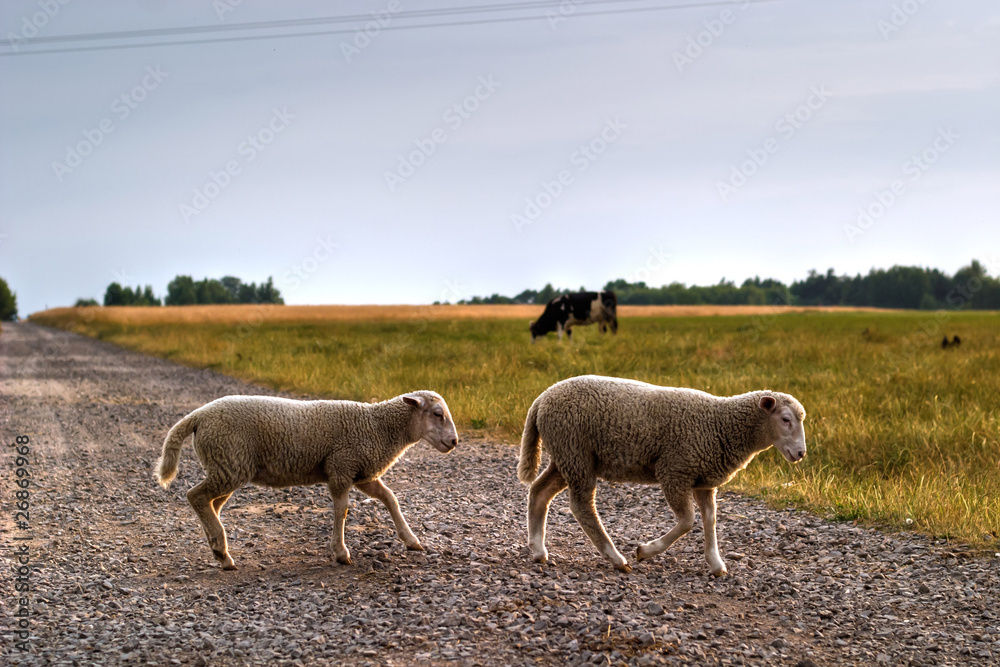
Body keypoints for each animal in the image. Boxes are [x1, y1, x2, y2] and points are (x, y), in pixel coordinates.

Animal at [155, 391, 458, 570]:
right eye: (437, 414)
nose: (455, 442)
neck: (378, 426)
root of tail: (197, 416)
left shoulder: (362, 473)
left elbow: (390, 499)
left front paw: (411, 540)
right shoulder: (341, 467)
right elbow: (342, 510)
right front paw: (340, 552)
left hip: (227, 465)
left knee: (210, 505)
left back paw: (219, 550)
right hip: (229, 463)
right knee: (195, 496)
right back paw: (221, 549)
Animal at [517, 375, 807, 576]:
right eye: (785, 419)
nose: (801, 453)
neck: (720, 424)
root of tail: (541, 399)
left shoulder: (704, 480)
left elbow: (710, 520)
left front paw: (716, 564)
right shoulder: (675, 472)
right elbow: (688, 521)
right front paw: (645, 551)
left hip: (567, 456)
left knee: (540, 492)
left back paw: (538, 550)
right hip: (575, 452)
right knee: (581, 506)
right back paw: (617, 559)